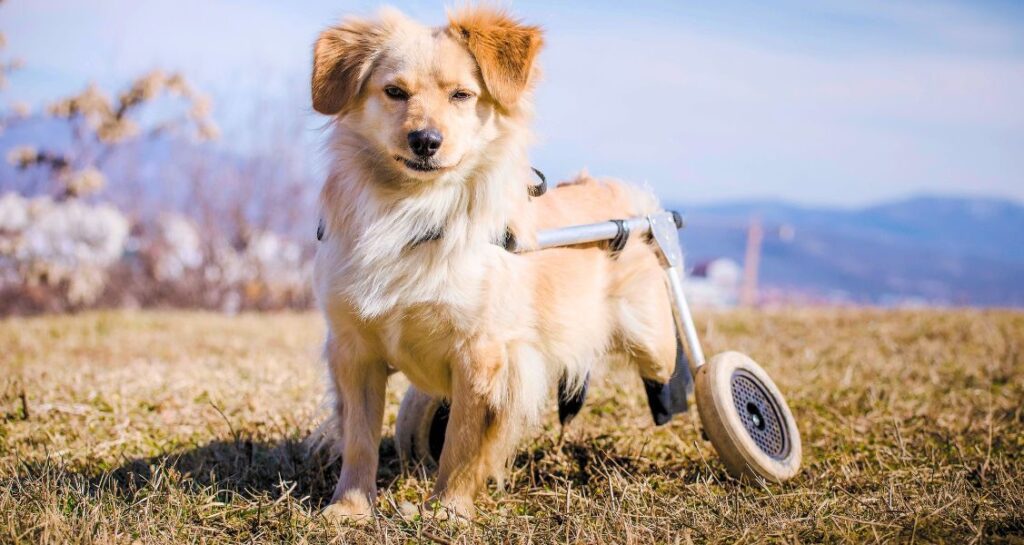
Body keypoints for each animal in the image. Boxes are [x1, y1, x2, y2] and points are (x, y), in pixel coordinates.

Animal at [311, 6, 679, 522]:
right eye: (395, 92)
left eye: (462, 95)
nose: (425, 140)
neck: (413, 213)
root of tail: (620, 196)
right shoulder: (353, 350)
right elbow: (359, 438)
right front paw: (349, 509)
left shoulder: (482, 356)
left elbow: (463, 443)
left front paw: (448, 510)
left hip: (654, 342)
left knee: (673, 374)